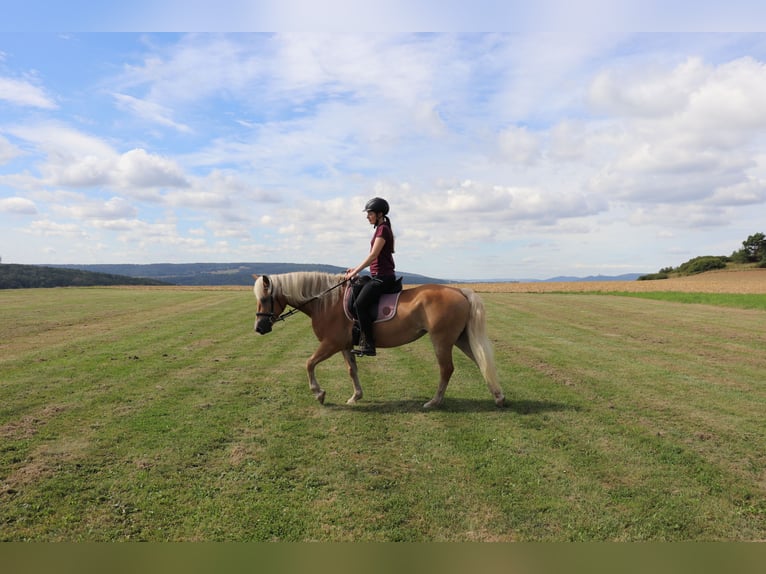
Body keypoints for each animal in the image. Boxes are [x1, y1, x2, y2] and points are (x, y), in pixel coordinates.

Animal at [254, 274, 510, 410]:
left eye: (265, 299)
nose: (259, 328)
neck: (327, 302)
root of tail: (459, 291)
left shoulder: (331, 343)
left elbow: (308, 363)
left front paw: (319, 394)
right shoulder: (344, 346)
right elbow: (352, 370)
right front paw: (355, 396)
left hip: (442, 340)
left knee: (447, 369)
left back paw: (434, 402)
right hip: (461, 338)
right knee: (481, 362)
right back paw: (498, 396)